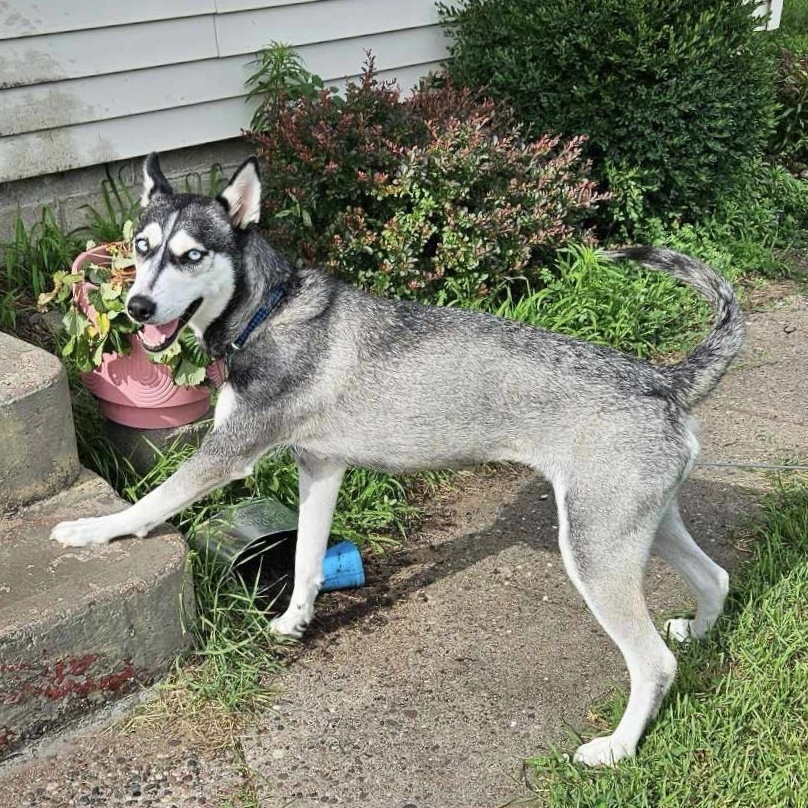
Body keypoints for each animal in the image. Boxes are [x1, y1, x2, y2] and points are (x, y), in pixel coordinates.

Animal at [50, 152, 744, 764]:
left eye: (190, 255)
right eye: (142, 248)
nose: (136, 308)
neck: (268, 311)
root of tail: (663, 381)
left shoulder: (229, 454)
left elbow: (152, 501)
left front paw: (93, 530)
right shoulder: (319, 468)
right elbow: (305, 561)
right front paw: (293, 622)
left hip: (594, 552)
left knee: (654, 663)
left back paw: (618, 748)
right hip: (636, 527)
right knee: (716, 579)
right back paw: (701, 633)